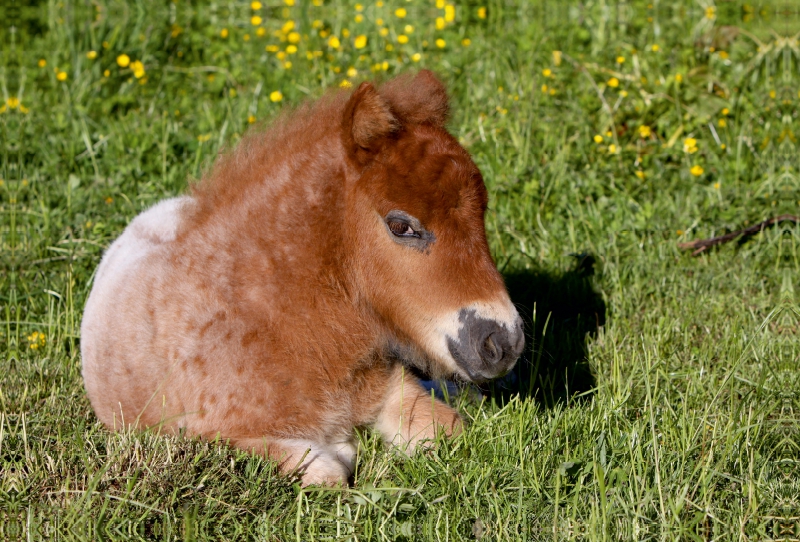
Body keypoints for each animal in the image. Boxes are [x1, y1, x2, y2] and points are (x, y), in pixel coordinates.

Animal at [78, 72, 520, 488]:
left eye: (482, 213)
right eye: (400, 226)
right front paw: (344, 448)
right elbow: (327, 470)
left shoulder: (388, 387)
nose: (503, 343)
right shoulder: (212, 435)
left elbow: (449, 430)